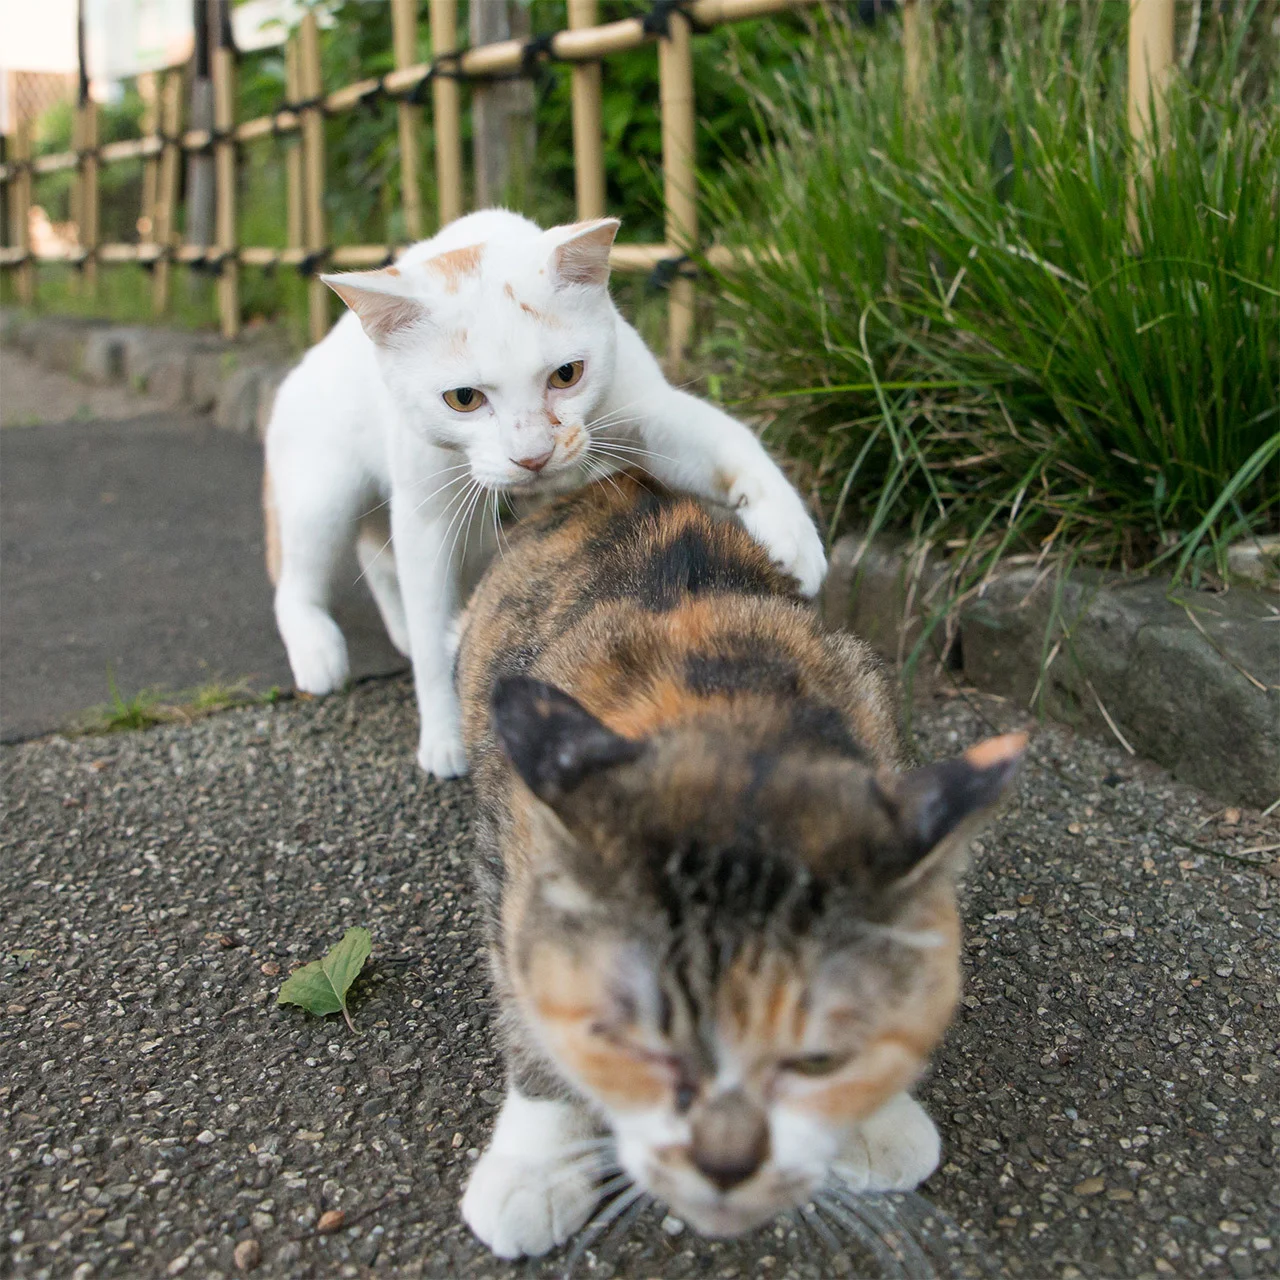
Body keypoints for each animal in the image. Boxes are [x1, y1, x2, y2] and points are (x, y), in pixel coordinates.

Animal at [263, 207, 824, 778]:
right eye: (462, 398)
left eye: (567, 374)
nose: (533, 455)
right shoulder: (426, 509)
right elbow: (430, 619)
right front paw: (443, 733)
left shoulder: (645, 408)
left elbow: (730, 444)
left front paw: (793, 537)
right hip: (323, 494)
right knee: (300, 577)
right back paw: (318, 651)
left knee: (375, 553)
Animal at [455, 473, 1024, 1259]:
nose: (725, 1163)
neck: (728, 705)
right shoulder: (503, 853)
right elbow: (527, 1008)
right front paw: (538, 1165)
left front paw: (874, 1117)